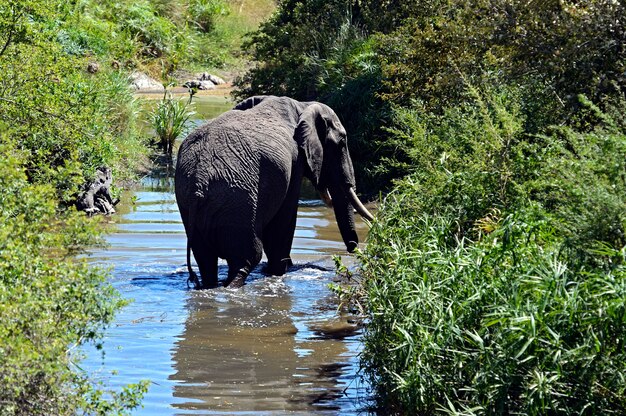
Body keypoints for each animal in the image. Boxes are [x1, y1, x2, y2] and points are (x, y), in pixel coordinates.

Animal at [173, 95, 372, 288]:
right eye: (342, 142)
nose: (353, 250)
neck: (303, 105)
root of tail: (199, 180)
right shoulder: (294, 162)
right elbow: (286, 217)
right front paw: (278, 272)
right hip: (237, 202)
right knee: (246, 258)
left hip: (191, 203)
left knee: (205, 260)